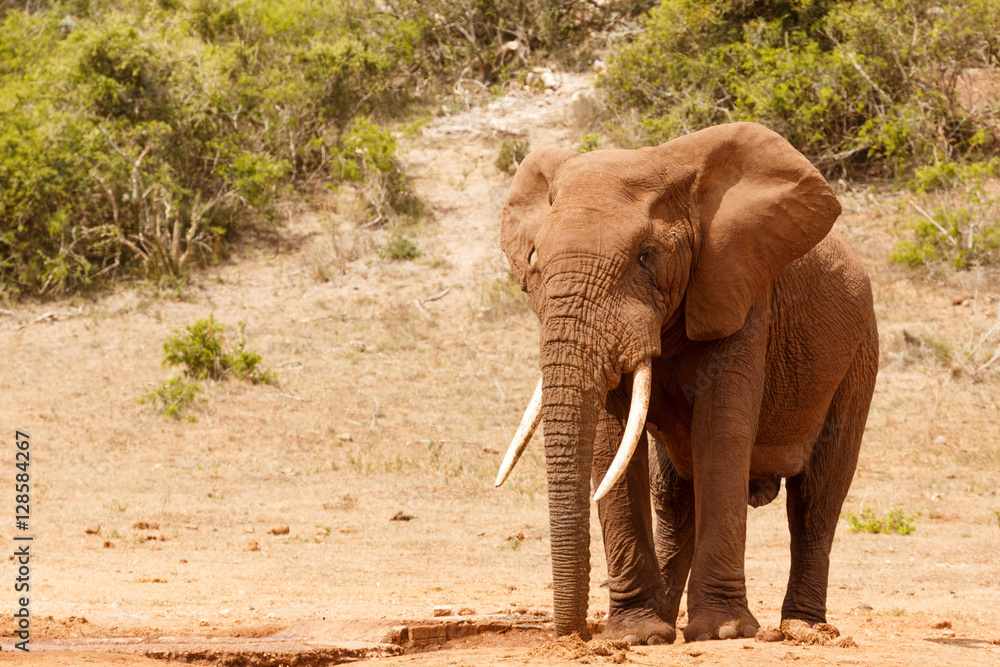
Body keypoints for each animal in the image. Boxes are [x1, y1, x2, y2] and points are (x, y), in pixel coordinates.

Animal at [493, 123, 878, 644]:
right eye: (534, 259)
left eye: (646, 256)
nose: (575, 637)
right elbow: (612, 441)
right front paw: (635, 635)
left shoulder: (740, 291)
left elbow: (720, 433)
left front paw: (723, 632)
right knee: (673, 497)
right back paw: (664, 615)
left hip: (858, 355)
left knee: (817, 499)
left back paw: (803, 629)